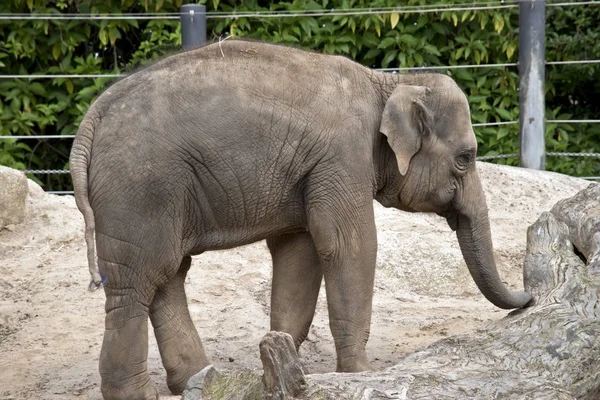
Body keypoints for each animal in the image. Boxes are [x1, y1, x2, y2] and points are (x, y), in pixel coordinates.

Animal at [70, 39, 536, 400]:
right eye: (465, 159)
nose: (531, 296)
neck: (387, 83)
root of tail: (92, 119)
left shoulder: (311, 170)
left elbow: (300, 252)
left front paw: (281, 361)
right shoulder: (342, 157)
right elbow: (350, 245)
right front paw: (360, 373)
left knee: (167, 276)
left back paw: (198, 380)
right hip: (139, 190)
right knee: (136, 283)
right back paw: (137, 392)